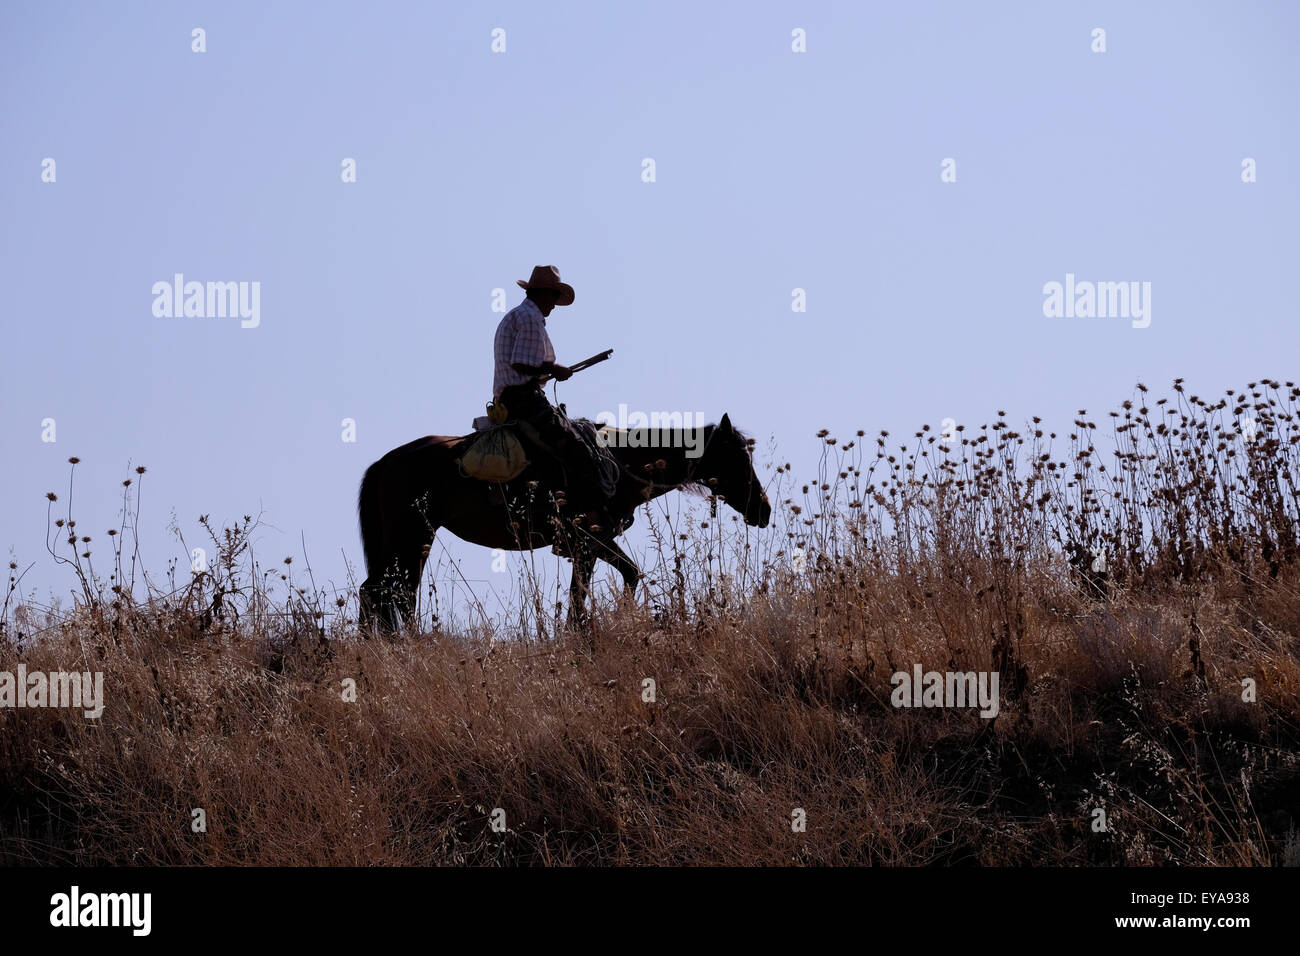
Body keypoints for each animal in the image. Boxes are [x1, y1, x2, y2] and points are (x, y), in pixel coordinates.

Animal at [356, 411, 764, 634]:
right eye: (738, 457)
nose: (764, 510)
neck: (619, 461)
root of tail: (384, 463)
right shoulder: (586, 539)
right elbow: (588, 593)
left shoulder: (591, 545)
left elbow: (612, 581)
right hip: (411, 539)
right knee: (393, 594)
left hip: (404, 543)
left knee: (378, 592)